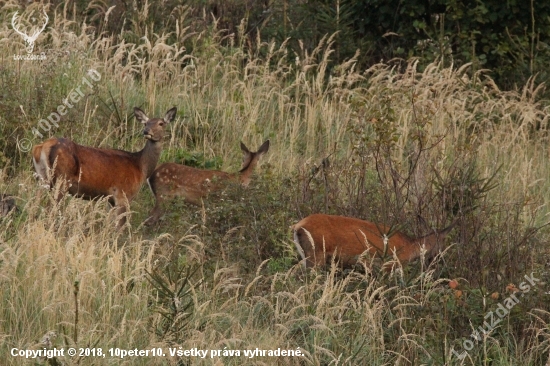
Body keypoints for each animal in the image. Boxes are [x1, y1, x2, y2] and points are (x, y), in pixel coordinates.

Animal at [31, 105, 177, 229]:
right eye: (146, 123)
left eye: (161, 123)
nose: (146, 131)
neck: (141, 166)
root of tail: (42, 147)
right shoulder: (122, 194)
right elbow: (119, 227)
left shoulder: (110, 200)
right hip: (62, 180)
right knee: (50, 209)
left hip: (42, 178)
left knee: (35, 205)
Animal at [294, 213, 458, 270]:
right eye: (443, 244)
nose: (440, 259)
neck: (409, 247)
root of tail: (297, 227)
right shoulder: (389, 264)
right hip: (316, 254)